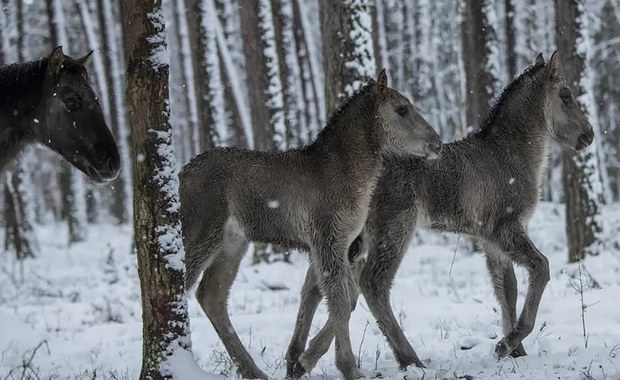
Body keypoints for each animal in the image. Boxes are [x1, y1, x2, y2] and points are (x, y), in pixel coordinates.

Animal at [182, 70, 444, 378]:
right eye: (402, 109)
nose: (437, 142)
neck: (352, 176)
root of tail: (180, 176)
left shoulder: (340, 243)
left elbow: (343, 297)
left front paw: (302, 360)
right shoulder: (327, 237)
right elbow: (341, 299)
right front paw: (347, 367)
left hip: (233, 242)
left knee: (211, 295)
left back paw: (253, 370)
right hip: (200, 233)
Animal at [288, 52, 600, 376]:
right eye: (565, 95)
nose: (588, 135)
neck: (511, 155)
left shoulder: (489, 238)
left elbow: (507, 288)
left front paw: (516, 350)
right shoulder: (505, 226)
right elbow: (541, 267)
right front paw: (507, 343)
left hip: (352, 235)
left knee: (320, 286)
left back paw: (298, 359)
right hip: (394, 225)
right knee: (371, 284)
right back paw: (408, 358)